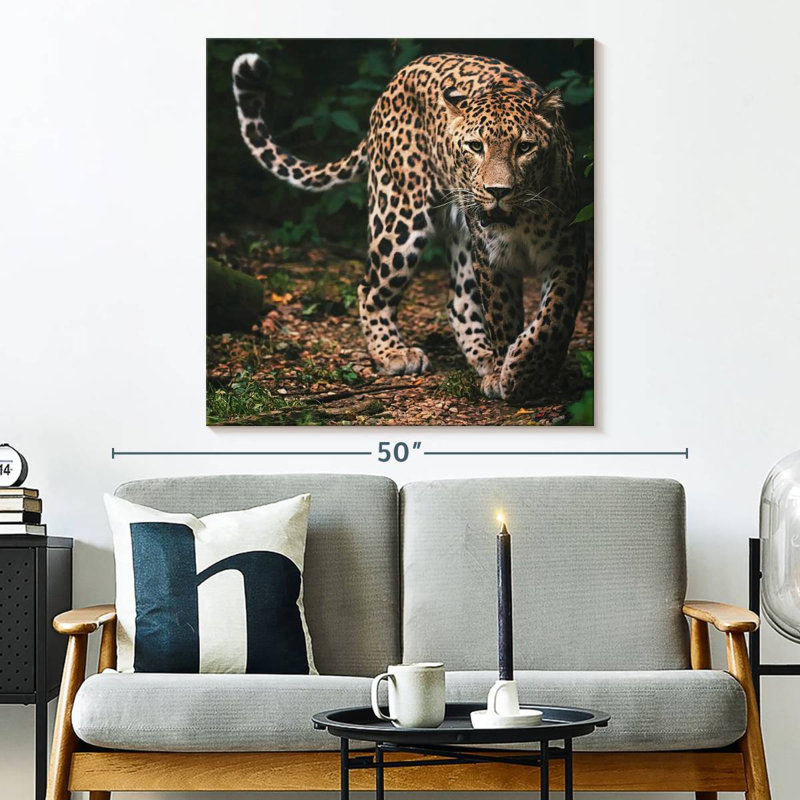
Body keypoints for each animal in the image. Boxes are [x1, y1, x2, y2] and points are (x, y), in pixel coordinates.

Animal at [232, 52, 587, 402]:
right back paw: (394, 353)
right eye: (476, 146)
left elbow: (554, 318)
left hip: (460, 236)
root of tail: (398, 77)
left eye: (524, 147)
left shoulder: (569, 252)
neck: (521, 220)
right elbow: (503, 317)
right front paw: (511, 374)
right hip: (399, 218)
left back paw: (483, 358)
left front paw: (527, 370)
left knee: (459, 302)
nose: (497, 191)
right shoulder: (492, 259)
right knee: (370, 288)